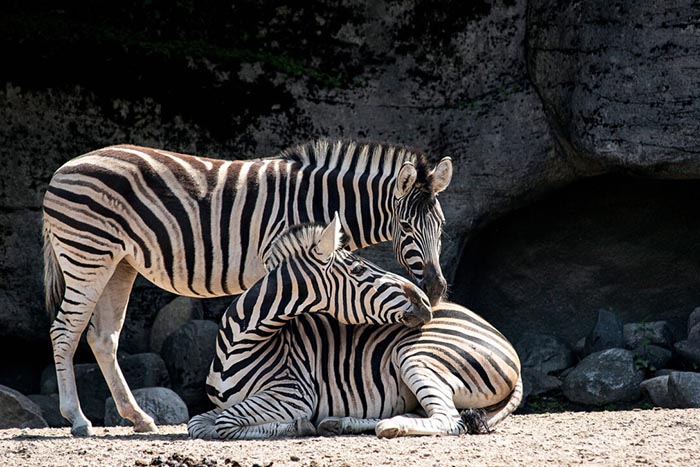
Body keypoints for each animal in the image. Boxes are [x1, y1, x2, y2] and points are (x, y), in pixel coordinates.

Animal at [42, 137, 454, 436]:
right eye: (406, 228)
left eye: (442, 225)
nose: (435, 290)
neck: (321, 201)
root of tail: (61, 171)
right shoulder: (282, 258)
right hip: (87, 255)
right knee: (65, 331)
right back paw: (78, 419)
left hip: (119, 263)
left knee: (102, 337)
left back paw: (139, 418)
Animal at [189, 221, 524, 440]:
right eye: (361, 269)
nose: (427, 301)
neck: (239, 343)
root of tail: (505, 342)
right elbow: (199, 424)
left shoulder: (294, 394)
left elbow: (223, 424)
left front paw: (298, 425)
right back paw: (340, 423)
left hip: (417, 355)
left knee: (449, 420)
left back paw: (388, 426)